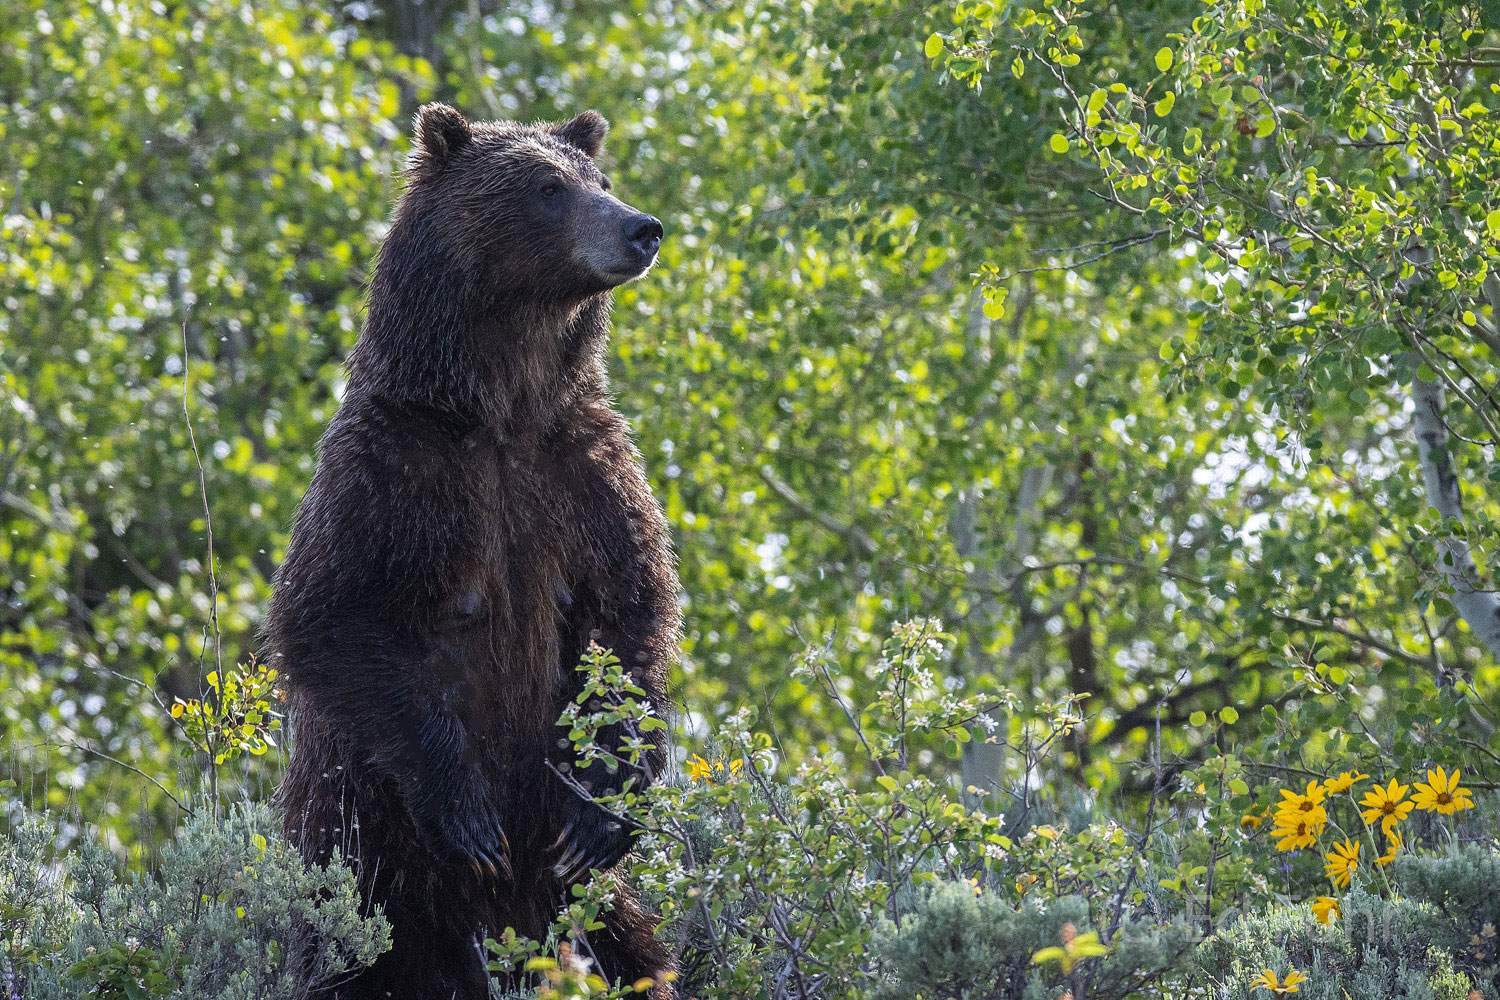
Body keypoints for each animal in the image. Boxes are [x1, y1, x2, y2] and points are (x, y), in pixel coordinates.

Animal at [268, 103, 681, 1000]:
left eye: (601, 178)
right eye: (548, 187)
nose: (642, 227)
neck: (500, 400)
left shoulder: (583, 470)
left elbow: (632, 615)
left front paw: (596, 812)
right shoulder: (392, 474)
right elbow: (329, 615)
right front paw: (469, 816)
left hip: (586, 907)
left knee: (635, 947)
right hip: (367, 854)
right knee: (369, 956)